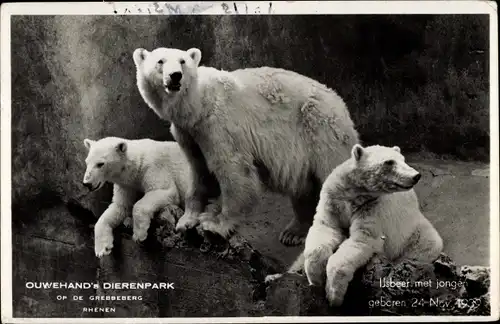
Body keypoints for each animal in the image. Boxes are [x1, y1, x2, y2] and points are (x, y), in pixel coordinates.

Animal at [82, 135, 219, 256]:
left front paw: (140, 235)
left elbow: (165, 190)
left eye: (100, 164)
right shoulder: (127, 185)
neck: (136, 167)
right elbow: (120, 206)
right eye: (87, 162)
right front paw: (102, 249)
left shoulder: (154, 167)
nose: (87, 183)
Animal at [133, 46, 360, 246]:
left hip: (320, 129)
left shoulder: (219, 126)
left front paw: (216, 225)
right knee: (303, 185)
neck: (198, 105)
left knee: (330, 171)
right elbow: (199, 171)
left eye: (182, 61)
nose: (175, 76)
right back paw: (294, 232)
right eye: (160, 61)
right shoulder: (189, 134)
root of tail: (340, 104)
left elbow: (233, 170)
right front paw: (186, 220)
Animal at [292, 144, 444, 306]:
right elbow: (326, 228)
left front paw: (333, 295)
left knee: (425, 245)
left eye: (403, 159)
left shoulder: (372, 207)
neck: (356, 194)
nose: (416, 176)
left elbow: (362, 240)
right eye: (389, 162)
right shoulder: (333, 199)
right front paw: (316, 278)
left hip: (414, 231)